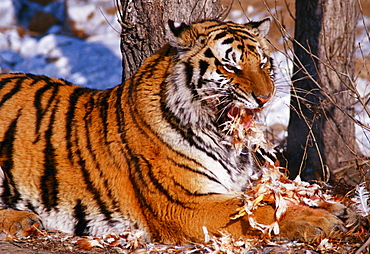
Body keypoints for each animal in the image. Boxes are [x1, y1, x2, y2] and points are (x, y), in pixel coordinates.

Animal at [0, 18, 352, 245]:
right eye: (230, 66)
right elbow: (262, 211)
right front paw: (319, 220)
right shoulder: (186, 203)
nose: (265, 98)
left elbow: (272, 196)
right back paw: (22, 219)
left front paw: (333, 207)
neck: (224, 137)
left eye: (264, 63)